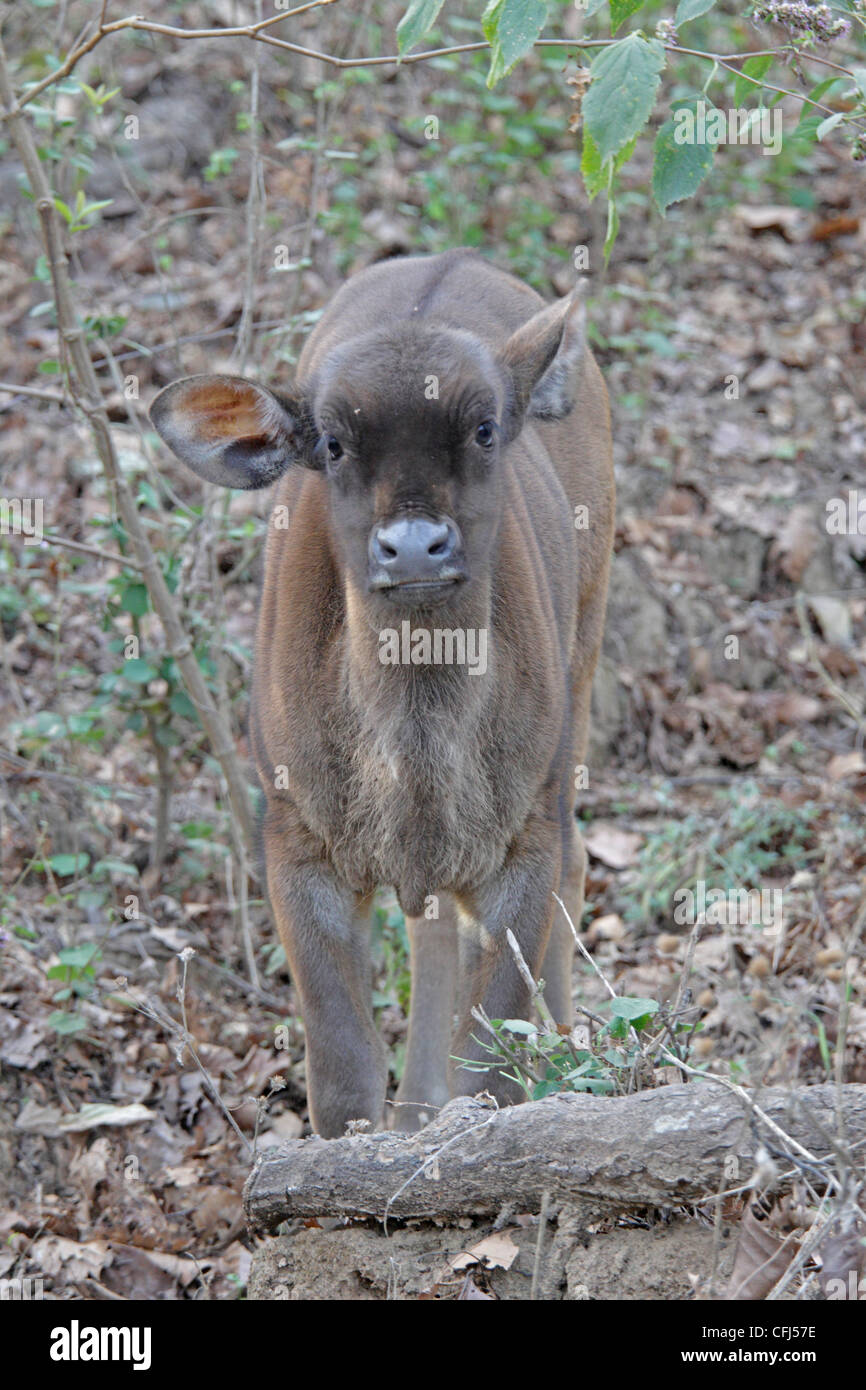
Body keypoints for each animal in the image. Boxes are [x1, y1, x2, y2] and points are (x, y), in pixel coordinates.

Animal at [150, 247, 617, 1139]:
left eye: (483, 427)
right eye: (332, 443)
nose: (414, 546)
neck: (415, 746)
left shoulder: (526, 843)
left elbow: (492, 1064)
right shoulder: (296, 845)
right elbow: (342, 1073)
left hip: (584, 663)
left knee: (568, 868)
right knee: (431, 923)